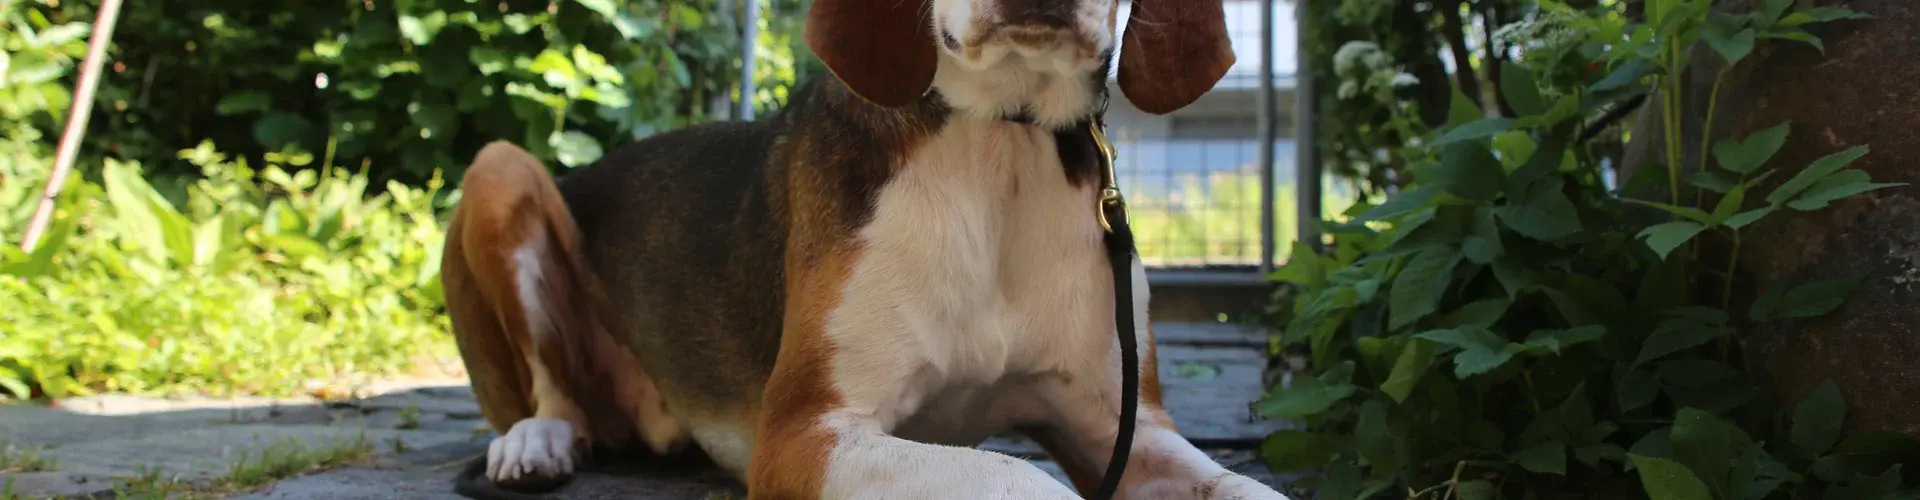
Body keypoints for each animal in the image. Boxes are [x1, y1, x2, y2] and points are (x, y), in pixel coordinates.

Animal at [443, 0, 1297, 496]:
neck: (1001, 140)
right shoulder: (805, 433)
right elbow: (1015, 479)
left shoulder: (1123, 429)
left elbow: (1245, 489)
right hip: (499, 168)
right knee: (552, 395)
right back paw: (538, 441)